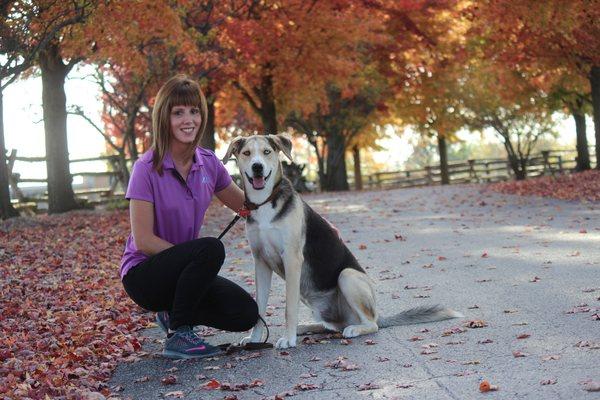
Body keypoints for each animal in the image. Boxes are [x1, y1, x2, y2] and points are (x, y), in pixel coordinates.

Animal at [223, 134, 462, 346]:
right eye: (246, 153)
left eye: (266, 152)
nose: (257, 167)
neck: (264, 203)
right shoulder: (261, 262)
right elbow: (259, 308)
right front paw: (255, 339)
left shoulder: (292, 259)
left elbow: (289, 308)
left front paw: (288, 339)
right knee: (331, 326)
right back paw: (306, 327)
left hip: (347, 276)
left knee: (370, 324)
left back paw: (353, 329)